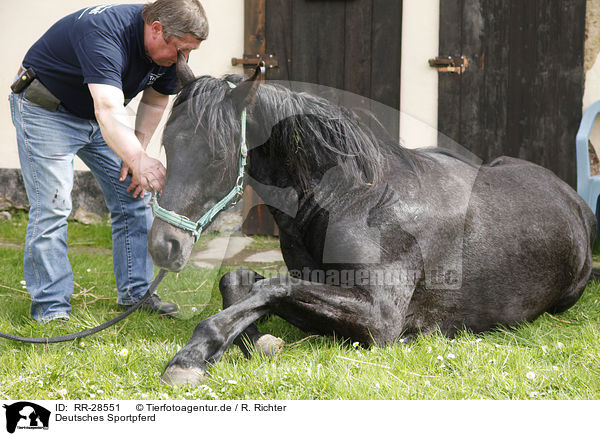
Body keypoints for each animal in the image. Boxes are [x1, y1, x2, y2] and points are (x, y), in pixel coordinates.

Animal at [148, 54, 596, 384]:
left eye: (216, 156)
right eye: (167, 143)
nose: (163, 245)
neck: (354, 198)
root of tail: (574, 201)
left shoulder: (380, 318)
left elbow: (270, 287)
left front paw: (191, 357)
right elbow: (240, 281)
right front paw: (255, 340)